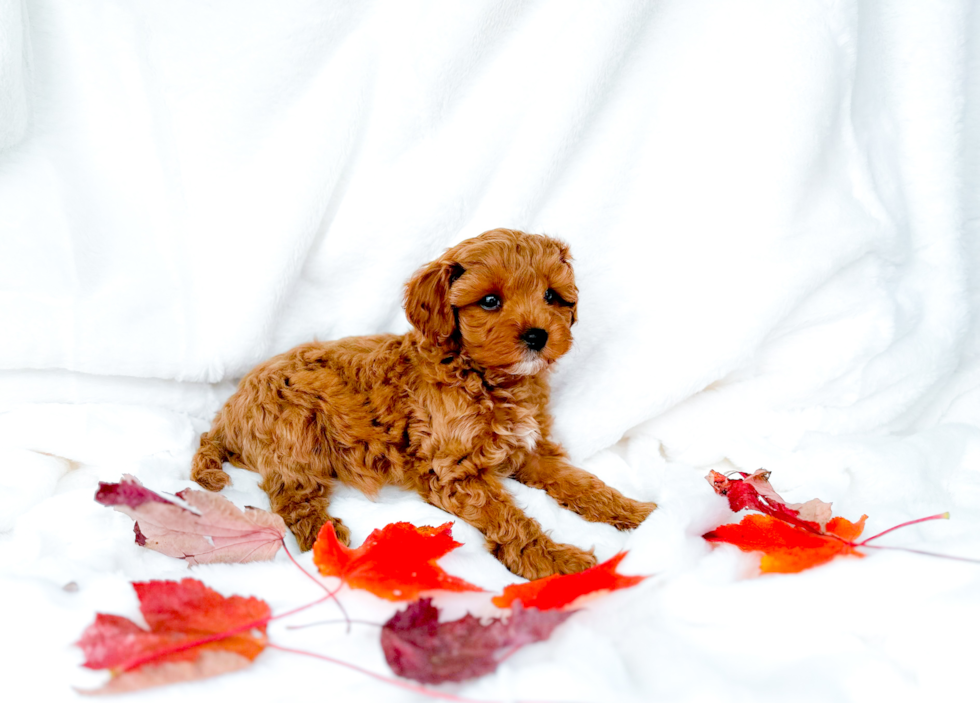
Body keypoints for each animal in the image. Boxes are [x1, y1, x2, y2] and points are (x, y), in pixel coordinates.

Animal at [191, 228, 656, 580]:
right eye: (490, 301)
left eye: (552, 296)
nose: (537, 336)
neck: (488, 378)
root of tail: (226, 415)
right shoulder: (452, 471)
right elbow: (510, 518)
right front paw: (556, 560)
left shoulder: (530, 449)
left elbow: (583, 482)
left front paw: (638, 512)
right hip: (295, 432)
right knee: (292, 497)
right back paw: (328, 540)